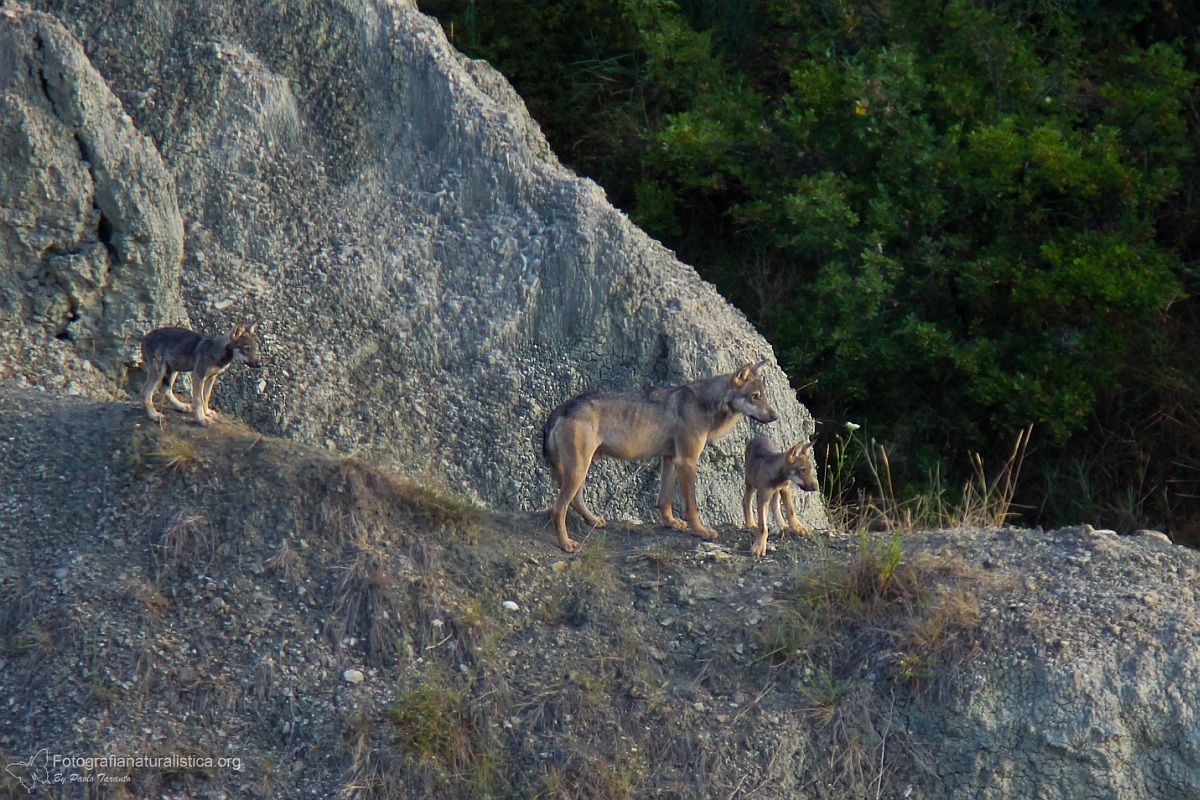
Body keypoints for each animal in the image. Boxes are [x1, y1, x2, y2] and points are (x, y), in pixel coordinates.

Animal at [541, 361, 778, 552]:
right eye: (754, 397)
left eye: (763, 395)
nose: (775, 416)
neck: (705, 403)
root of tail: (563, 408)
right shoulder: (687, 461)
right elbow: (691, 506)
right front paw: (701, 531)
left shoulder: (671, 459)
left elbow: (665, 501)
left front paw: (671, 523)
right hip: (579, 469)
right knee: (557, 509)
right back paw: (566, 544)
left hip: (581, 469)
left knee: (575, 501)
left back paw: (593, 521)